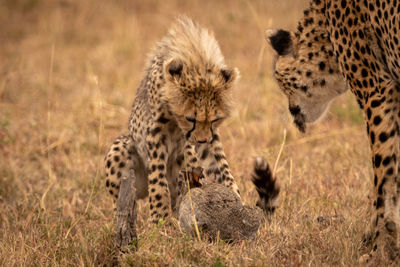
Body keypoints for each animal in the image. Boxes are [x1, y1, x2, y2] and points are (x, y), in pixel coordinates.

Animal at [104, 17, 280, 224]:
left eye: (215, 119)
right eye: (190, 118)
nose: (201, 140)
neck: (196, 60)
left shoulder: (208, 139)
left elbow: (221, 165)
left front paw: (235, 199)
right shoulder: (156, 132)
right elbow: (158, 178)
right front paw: (159, 218)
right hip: (123, 150)